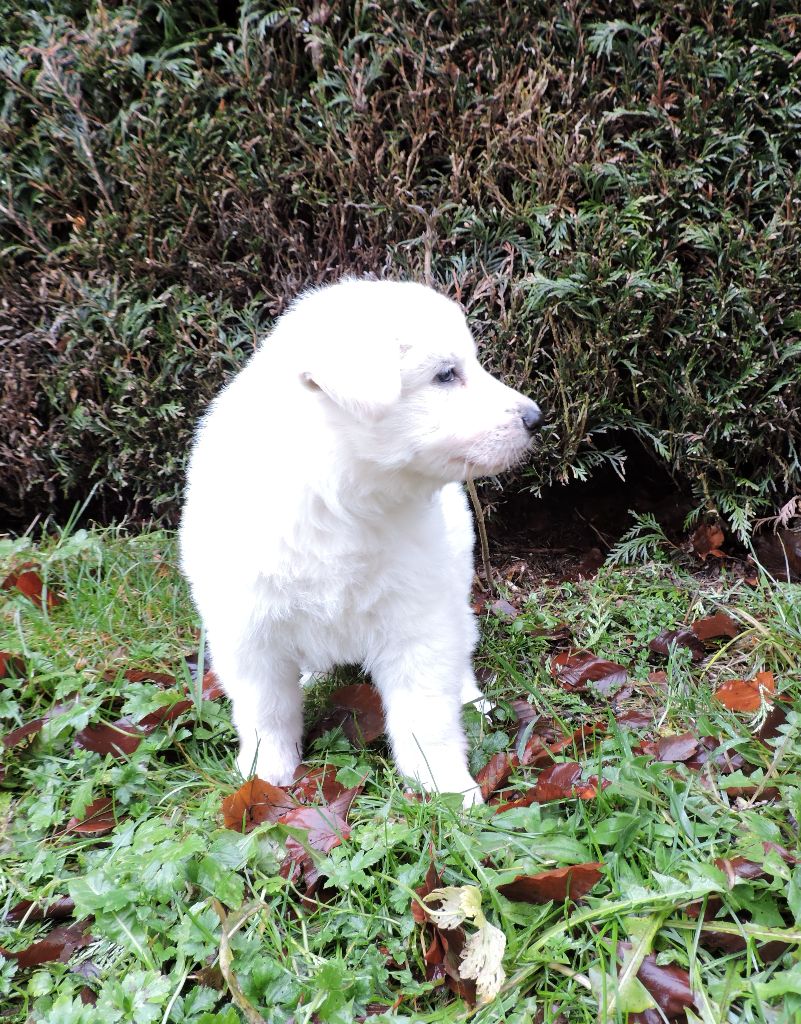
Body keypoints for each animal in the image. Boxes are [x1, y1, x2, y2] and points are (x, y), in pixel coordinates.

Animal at [180, 278, 544, 798]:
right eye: (446, 375)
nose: (537, 418)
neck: (338, 502)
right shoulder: (248, 633)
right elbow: (266, 710)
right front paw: (264, 773)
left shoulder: (420, 621)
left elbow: (425, 714)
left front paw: (447, 788)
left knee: (460, 654)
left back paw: (472, 699)